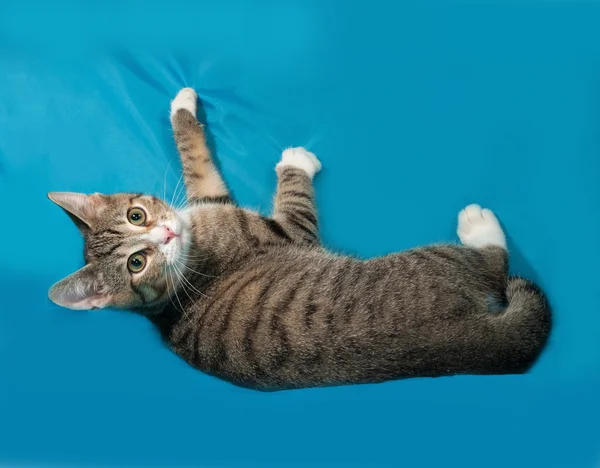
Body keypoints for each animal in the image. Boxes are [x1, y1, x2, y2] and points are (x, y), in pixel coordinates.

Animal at [49, 88, 552, 392]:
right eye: (137, 263)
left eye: (137, 215)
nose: (166, 232)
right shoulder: (286, 231)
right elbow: (294, 199)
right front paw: (296, 161)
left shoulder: (210, 201)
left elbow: (198, 164)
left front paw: (183, 106)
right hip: (434, 264)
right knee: (491, 266)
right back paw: (479, 227)